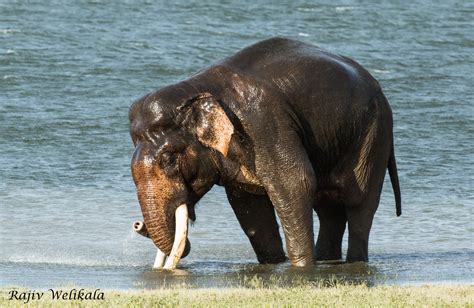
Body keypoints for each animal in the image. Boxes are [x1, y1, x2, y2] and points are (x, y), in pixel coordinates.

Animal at [129, 36, 400, 270]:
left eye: (168, 160)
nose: (137, 224)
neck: (198, 88)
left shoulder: (265, 124)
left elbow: (295, 184)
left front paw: (301, 268)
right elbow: (248, 205)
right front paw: (273, 264)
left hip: (374, 134)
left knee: (359, 203)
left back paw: (354, 262)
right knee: (328, 208)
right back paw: (328, 261)